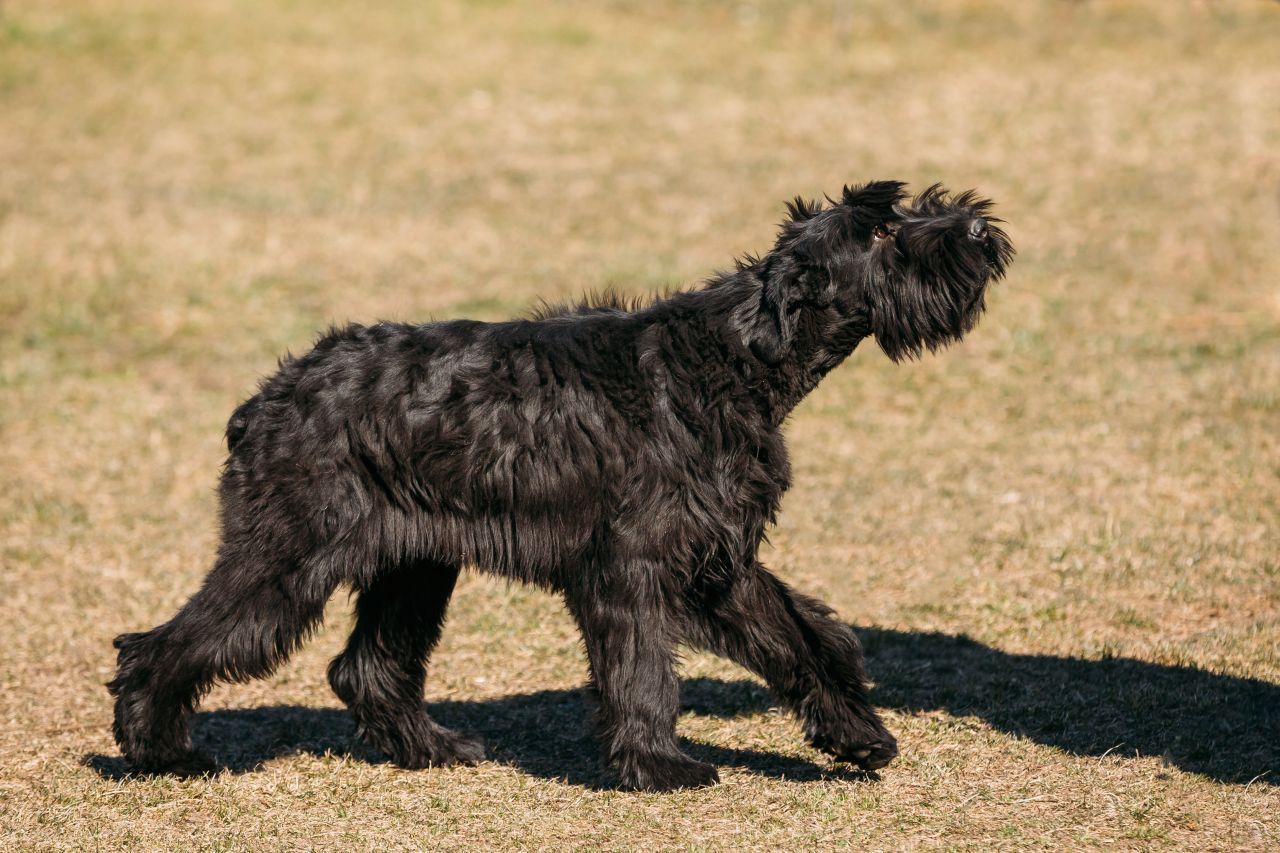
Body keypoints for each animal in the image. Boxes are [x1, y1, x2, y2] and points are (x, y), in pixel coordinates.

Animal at [110, 180, 1008, 788]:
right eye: (885, 229)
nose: (976, 224)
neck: (732, 359)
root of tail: (267, 397)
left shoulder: (716, 558)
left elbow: (804, 638)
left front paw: (857, 734)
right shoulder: (635, 566)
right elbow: (643, 666)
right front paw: (660, 764)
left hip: (413, 566)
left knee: (366, 667)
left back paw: (433, 748)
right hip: (287, 560)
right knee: (166, 644)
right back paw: (161, 751)